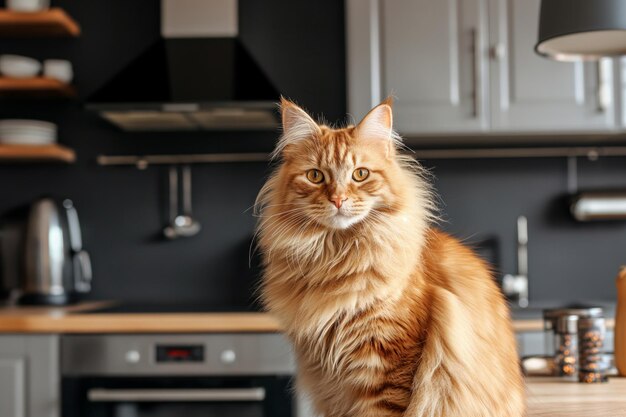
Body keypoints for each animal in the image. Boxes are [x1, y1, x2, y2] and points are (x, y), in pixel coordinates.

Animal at [256, 98, 524, 416]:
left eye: (360, 174)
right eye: (315, 176)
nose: (337, 199)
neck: (336, 258)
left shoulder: (388, 363)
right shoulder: (329, 377)